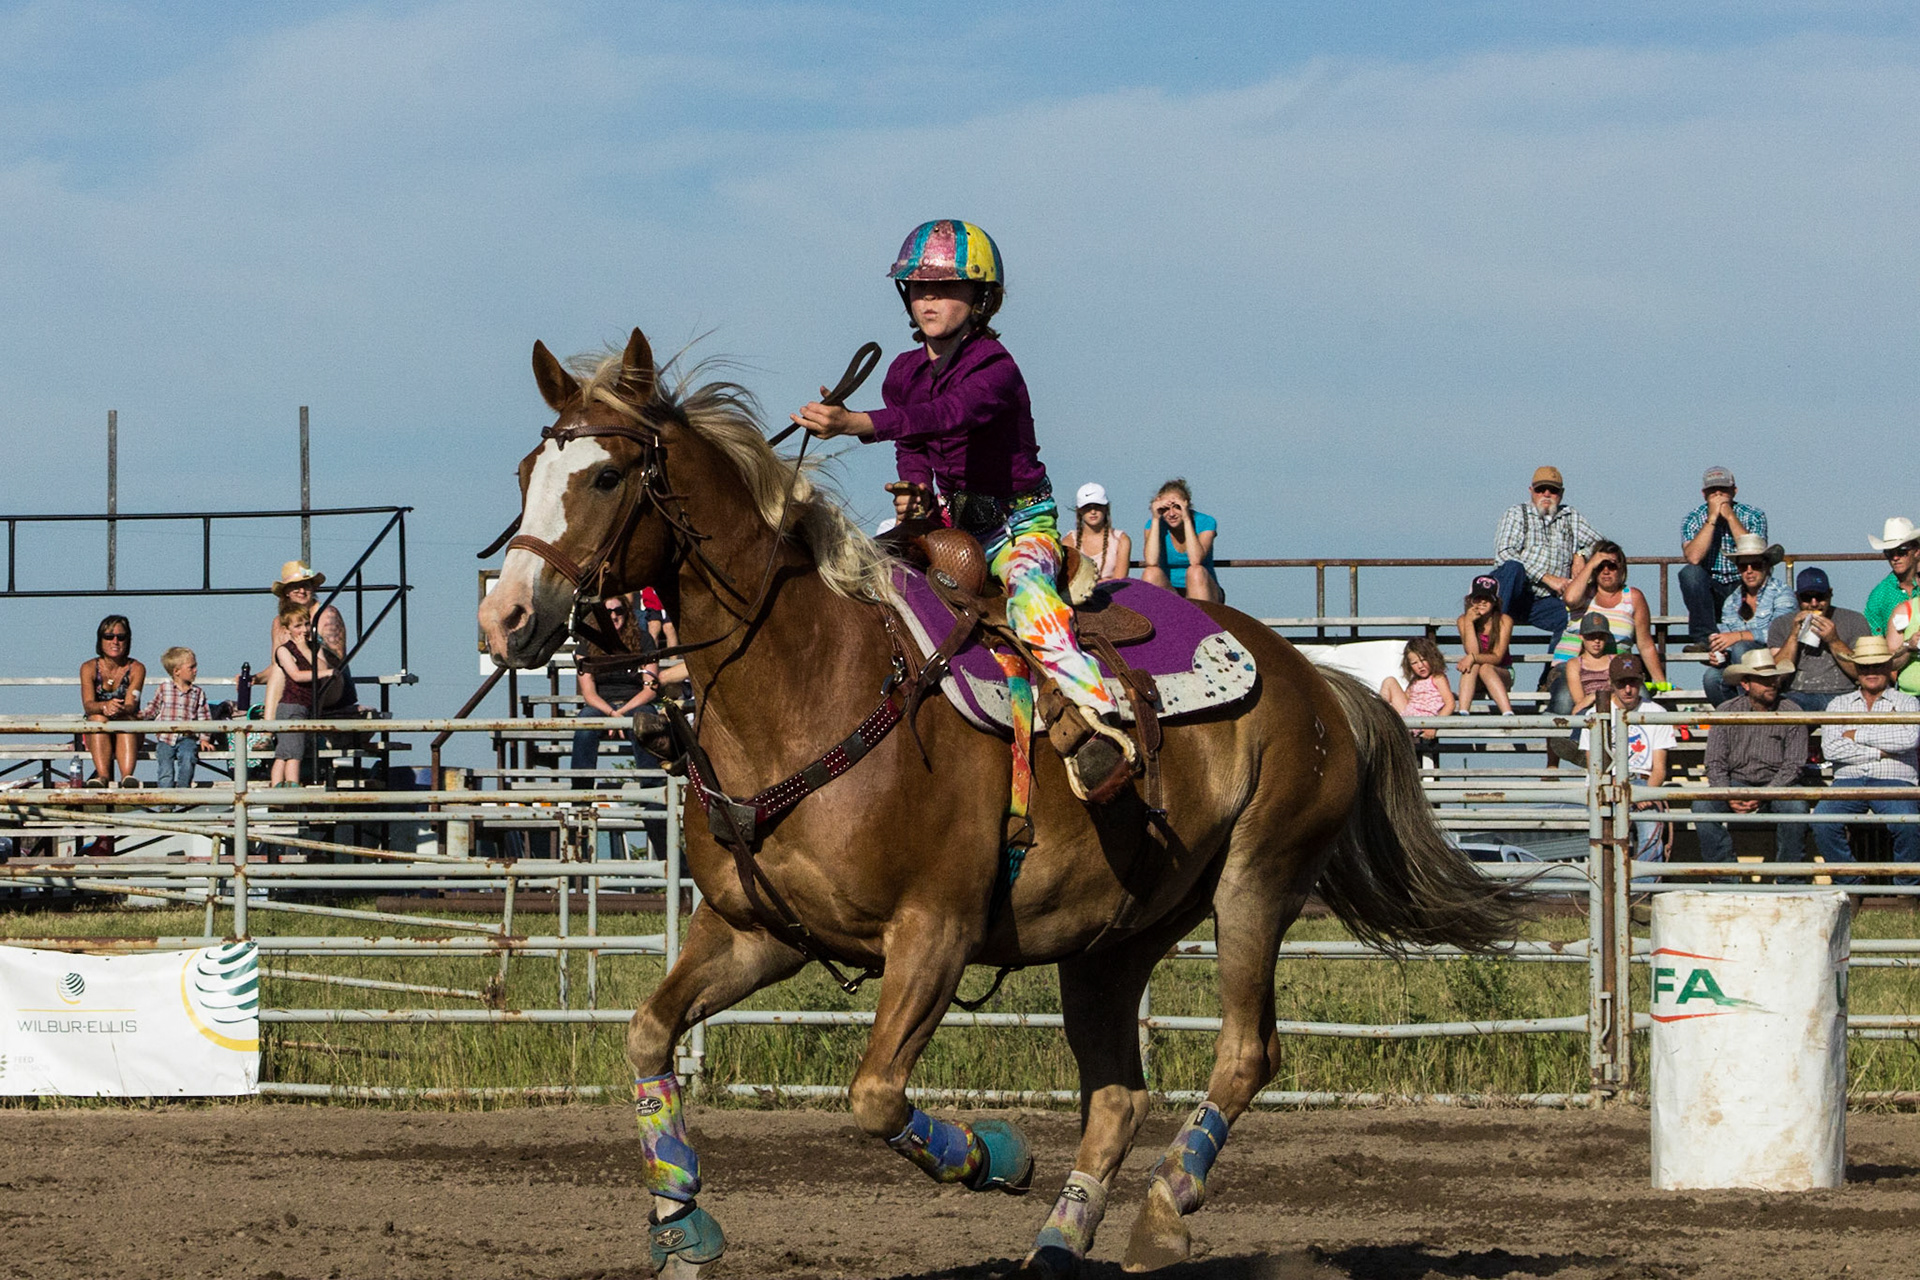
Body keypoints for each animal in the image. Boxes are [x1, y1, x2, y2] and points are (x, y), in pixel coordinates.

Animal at [477, 328, 1515, 1278]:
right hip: (1114, 939)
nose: (505, 618)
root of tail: (1319, 680)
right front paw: (683, 1223)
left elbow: (874, 1096)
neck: (815, 683)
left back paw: (1160, 1215)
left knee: (1245, 1054)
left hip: (1257, 882)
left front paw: (998, 1155)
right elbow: (649, 1032)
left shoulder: (934, 931)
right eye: (528, 471)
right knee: (1117, 1095)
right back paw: (1059, 1243)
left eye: (606, 476)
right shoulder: (757, 932)